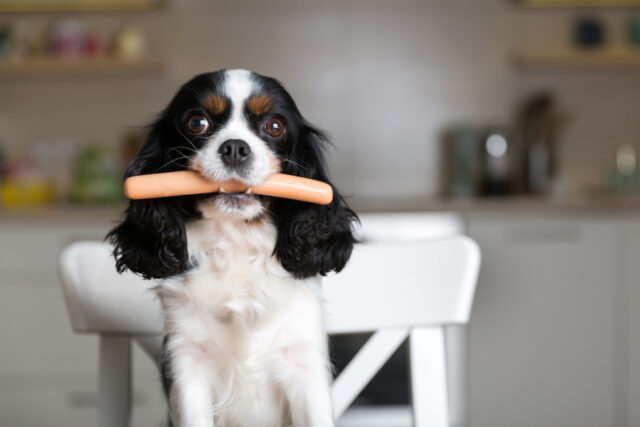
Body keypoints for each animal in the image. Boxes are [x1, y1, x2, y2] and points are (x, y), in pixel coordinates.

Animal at [107, 70, 358, 427]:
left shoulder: (303, 364)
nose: (235, 148)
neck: (236, 243)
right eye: (197, 122)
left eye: (275, 126)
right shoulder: (188, 363)